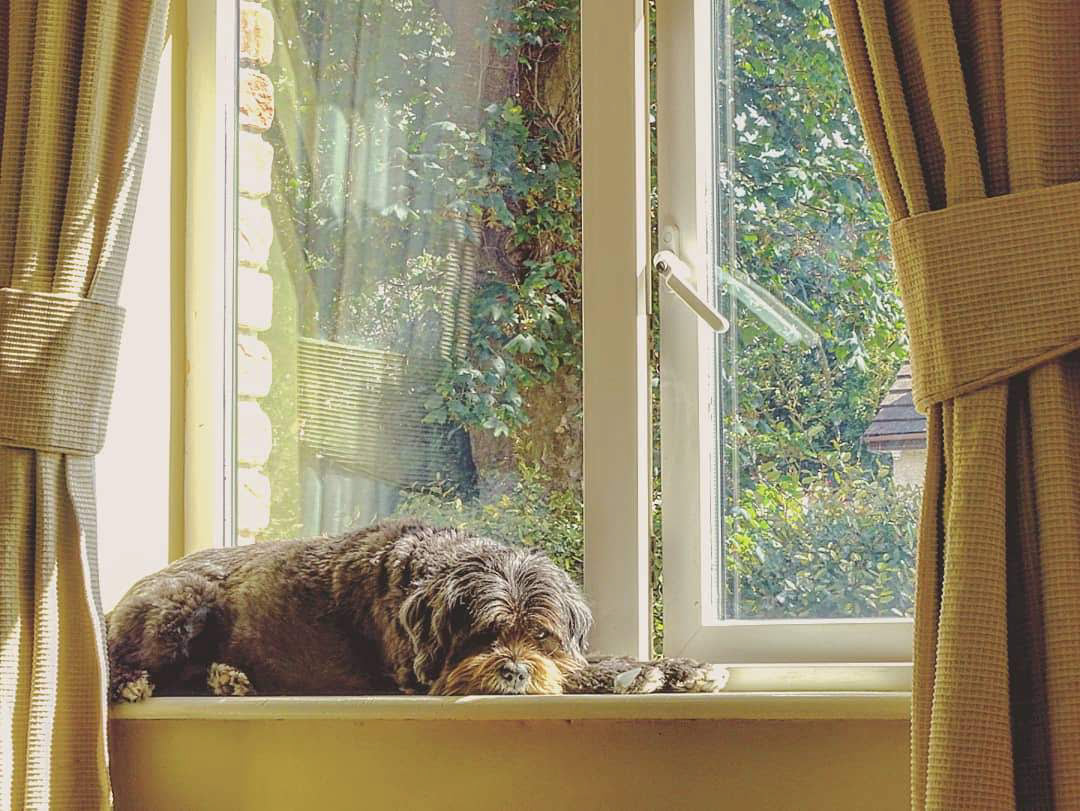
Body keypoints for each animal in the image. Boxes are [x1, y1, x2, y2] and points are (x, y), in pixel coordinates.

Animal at [106, 519, 725, 701]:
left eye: (541, 635)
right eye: (482, 636)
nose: (514, 670)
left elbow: (582, 664)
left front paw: (679, 668)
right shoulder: (425, 676)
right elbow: (577, 675)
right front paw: (632, 676)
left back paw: (228, 678)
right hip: (181, 608)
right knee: (120, 659)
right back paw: (137, 682)